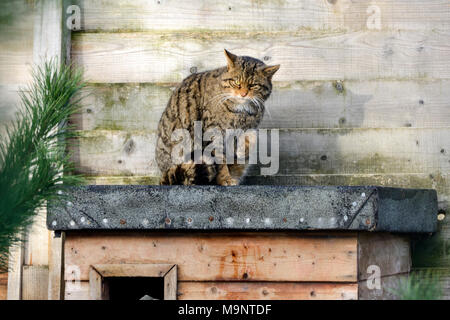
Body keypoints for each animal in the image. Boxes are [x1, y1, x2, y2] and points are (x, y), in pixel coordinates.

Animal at [156, 49, 280, 185]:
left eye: (253, 85)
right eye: (236, 82)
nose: (243, 94)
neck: (241, 112)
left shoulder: (248, 129)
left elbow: (246, 144)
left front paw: (242, 151)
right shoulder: (213, 133)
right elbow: (220, 160)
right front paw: (225, 178)